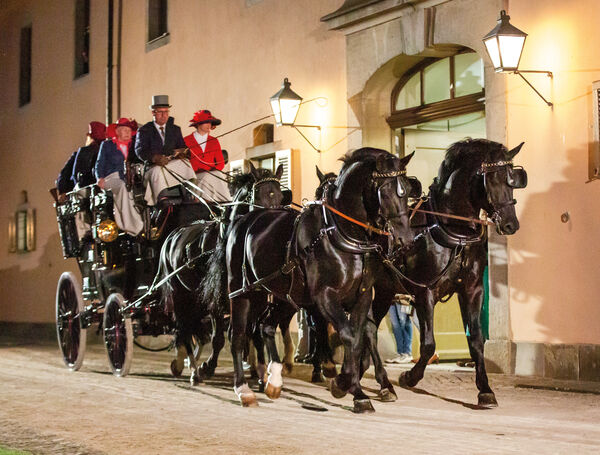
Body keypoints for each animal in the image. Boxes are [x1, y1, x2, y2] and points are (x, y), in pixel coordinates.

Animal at [157, 163, 284, 384]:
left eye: (280, 195)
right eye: (259, 195)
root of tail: (171, 235)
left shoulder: (253, 297)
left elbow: (250, 333)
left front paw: (260, 373)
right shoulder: (217, 300)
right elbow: (219, 338)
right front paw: (208, 366)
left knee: (195, 329)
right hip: (179, 294)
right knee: (185, 328)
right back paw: (194, 370)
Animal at [223, 149, 414, 414]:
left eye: (407, 189)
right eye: (384, 191)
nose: (406, 240)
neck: (341, 233)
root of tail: (245, 219)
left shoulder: (362, 297)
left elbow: (358, 339)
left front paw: (356, 390)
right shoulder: (324, 297)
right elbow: (348, 335)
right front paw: (342, 382)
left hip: (279, 295)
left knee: (266, 326)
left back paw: (274, 380)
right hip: (242, 292)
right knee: (239, 335)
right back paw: (244, 389)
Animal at [360, 139, 524, 410]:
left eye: (513, 179)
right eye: (491, 179)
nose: (511, 224)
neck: (451, 230)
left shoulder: (472, 290)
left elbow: (476, 340)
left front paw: (485, 390)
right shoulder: (424, 291)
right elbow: (428, 344)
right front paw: (410, 377)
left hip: (385, 290)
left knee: (369, 326)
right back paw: (384, 383)